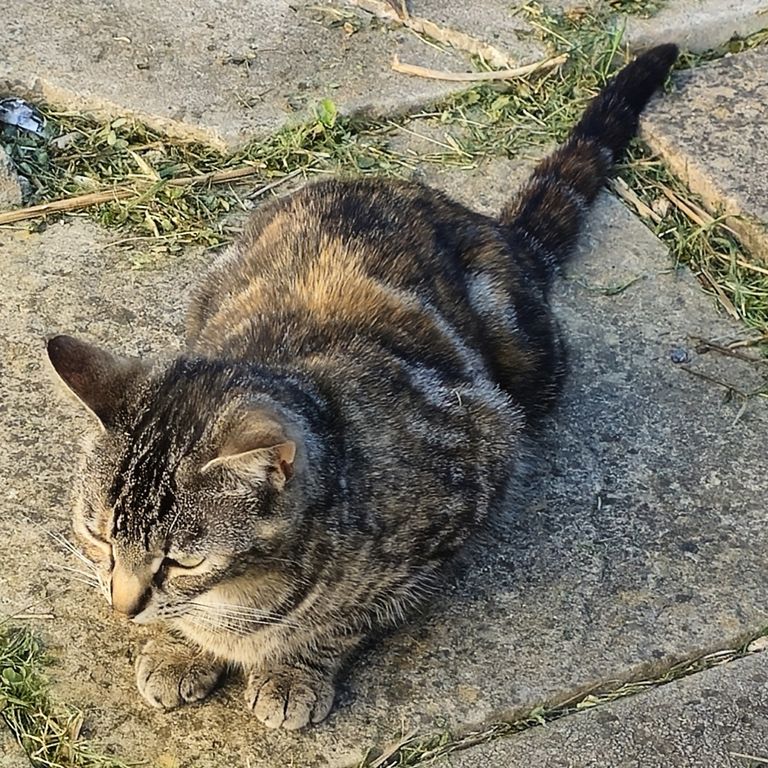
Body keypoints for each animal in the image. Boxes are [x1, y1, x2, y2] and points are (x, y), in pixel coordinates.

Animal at [46, 44, 678, 730]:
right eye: (98, 535)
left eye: (182, 561)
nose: (124, 606)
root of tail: (485, 222)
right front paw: (181, 649)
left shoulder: (473, 465)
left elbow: (344, 619)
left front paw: (291, 669)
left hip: (533, 366)